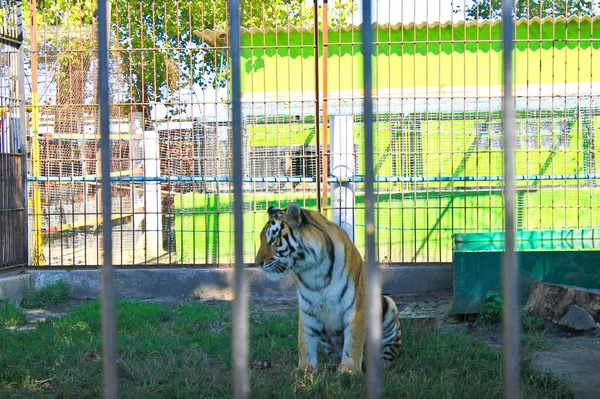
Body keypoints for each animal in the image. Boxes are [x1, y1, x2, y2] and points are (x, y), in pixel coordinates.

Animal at [254, 203, 400, 376]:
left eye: (273, 239)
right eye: (262, 239)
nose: (257, 263)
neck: (312, 270)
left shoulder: (355, 306)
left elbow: (353, 341)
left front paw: (349, 371)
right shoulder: (308, 308)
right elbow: (304, 340)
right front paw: (305, 370)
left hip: (389, 306)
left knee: (388, 354)